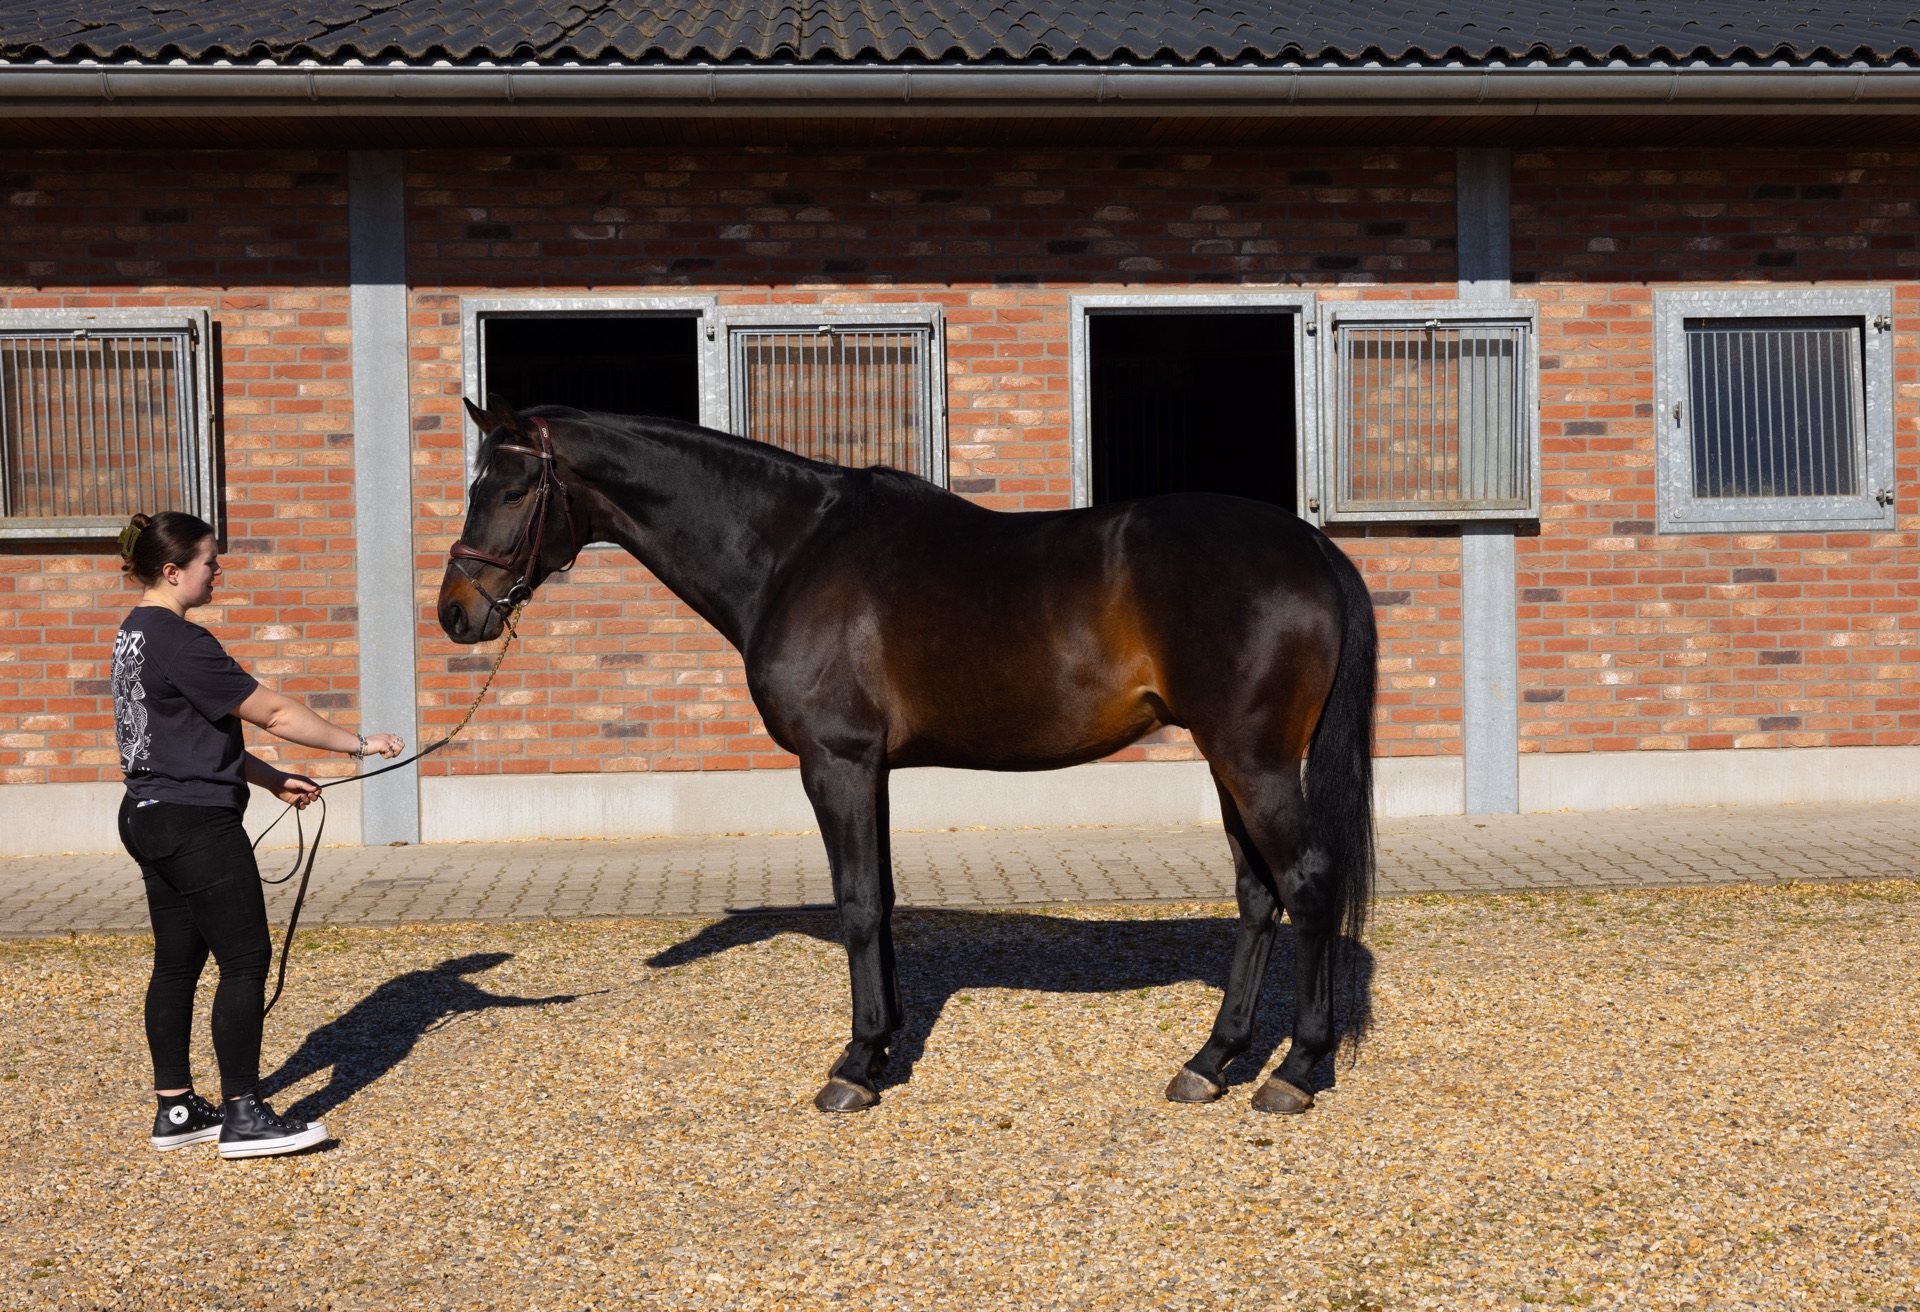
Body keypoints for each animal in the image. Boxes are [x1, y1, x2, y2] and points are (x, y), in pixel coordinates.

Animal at [437, 396, 1378, 1116]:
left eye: (513, 488)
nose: (455, 611)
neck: (792, 550)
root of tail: (1312, 547)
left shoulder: (836, 761)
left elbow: (857, 903)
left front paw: (855, 1067)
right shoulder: (872, 769)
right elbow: (882, 900)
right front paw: (883, 1046)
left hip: (1253, 760)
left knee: (1306, 883)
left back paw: (1296, 1071)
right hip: (1228, 760)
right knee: (1257, 894)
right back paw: (1211, 1062)